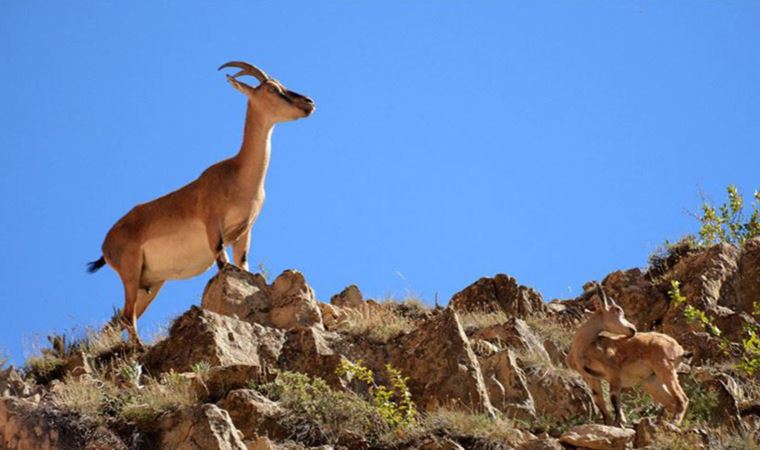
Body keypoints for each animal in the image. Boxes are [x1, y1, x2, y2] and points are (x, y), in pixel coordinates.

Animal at [87, 60, 314, 344]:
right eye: (272, 89)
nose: (308, 102)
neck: (238, 175)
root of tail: (106, 244)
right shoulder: (212, 224)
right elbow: (223, 263)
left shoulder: (244, 231)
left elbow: (243, 264)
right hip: (130, 271)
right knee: (128, 317)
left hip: (149, 283)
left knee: (118, 320)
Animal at [568, 284, 692, 428]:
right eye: (618, 310)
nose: (633, 329)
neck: (583, 348)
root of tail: (679, 349)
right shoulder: (591, 377)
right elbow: (599, 402)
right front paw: (609, 424)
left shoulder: (613, 372)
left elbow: (614, 397)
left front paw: (620, 422)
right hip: (652, 381)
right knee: (671, 402)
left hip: (665, 368)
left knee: (682, 398)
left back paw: (673, 423)